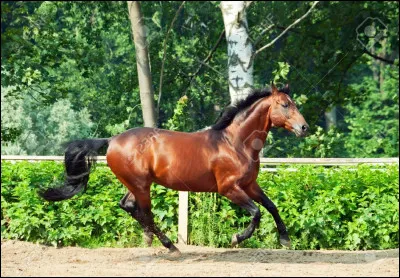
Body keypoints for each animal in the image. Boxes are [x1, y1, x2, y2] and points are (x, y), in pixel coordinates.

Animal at [39, 83, 310, 254]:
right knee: (145, 212)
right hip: (141, 185)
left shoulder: (250, 185)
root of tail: (112, 140)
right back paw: (170, 246)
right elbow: (256, 213)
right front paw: (236, 238)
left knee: (127, 205)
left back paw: (156, 241)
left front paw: (285, 239)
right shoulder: (229, 189)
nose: (304, 128)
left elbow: (271, 206)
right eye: (285, 104)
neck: (235, 143)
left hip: (136, 184)